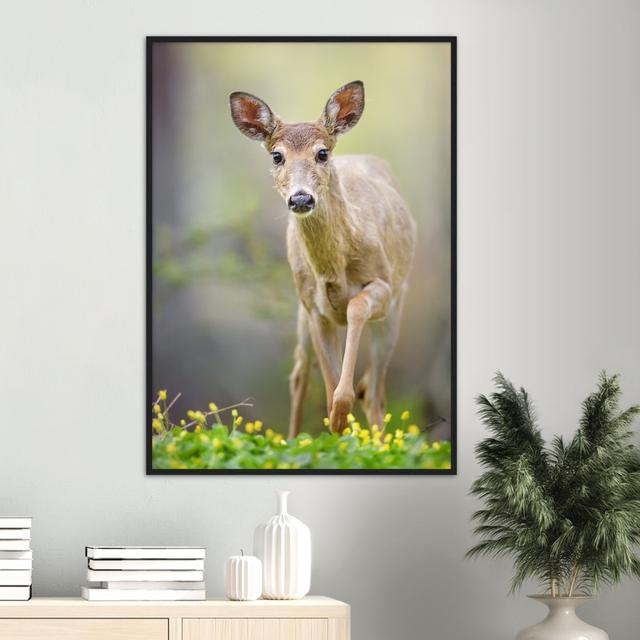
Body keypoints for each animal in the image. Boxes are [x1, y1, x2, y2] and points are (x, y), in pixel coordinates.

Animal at [230, 81, 416, 438]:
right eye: (277, 155)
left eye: (322, 153)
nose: (301, 198)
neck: (335, 268)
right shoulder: (313, 307)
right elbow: (326, 384)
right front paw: (338, 420)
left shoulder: (383, 284)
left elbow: (356, 307)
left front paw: (342, 412)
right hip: (302, 311)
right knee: (300, 373)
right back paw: (293, 439)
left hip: (395, 310)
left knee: (374, 390)